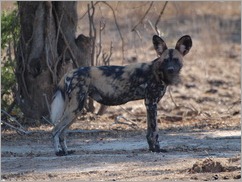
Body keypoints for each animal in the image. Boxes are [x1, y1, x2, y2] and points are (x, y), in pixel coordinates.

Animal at [50, 34, 192, 156]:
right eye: (165, 61)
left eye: (176, 60)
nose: (170, 69)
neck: (158, 72)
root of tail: (69, 73)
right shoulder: (152, 103)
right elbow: (154, 131)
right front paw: (157, 149)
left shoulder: (148, 105)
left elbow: (149, 132)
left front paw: (151, 148)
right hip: (75, 108)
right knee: (55, 130)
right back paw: (58, 152)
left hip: (77, 109)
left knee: (62, 133)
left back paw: (66, 151)